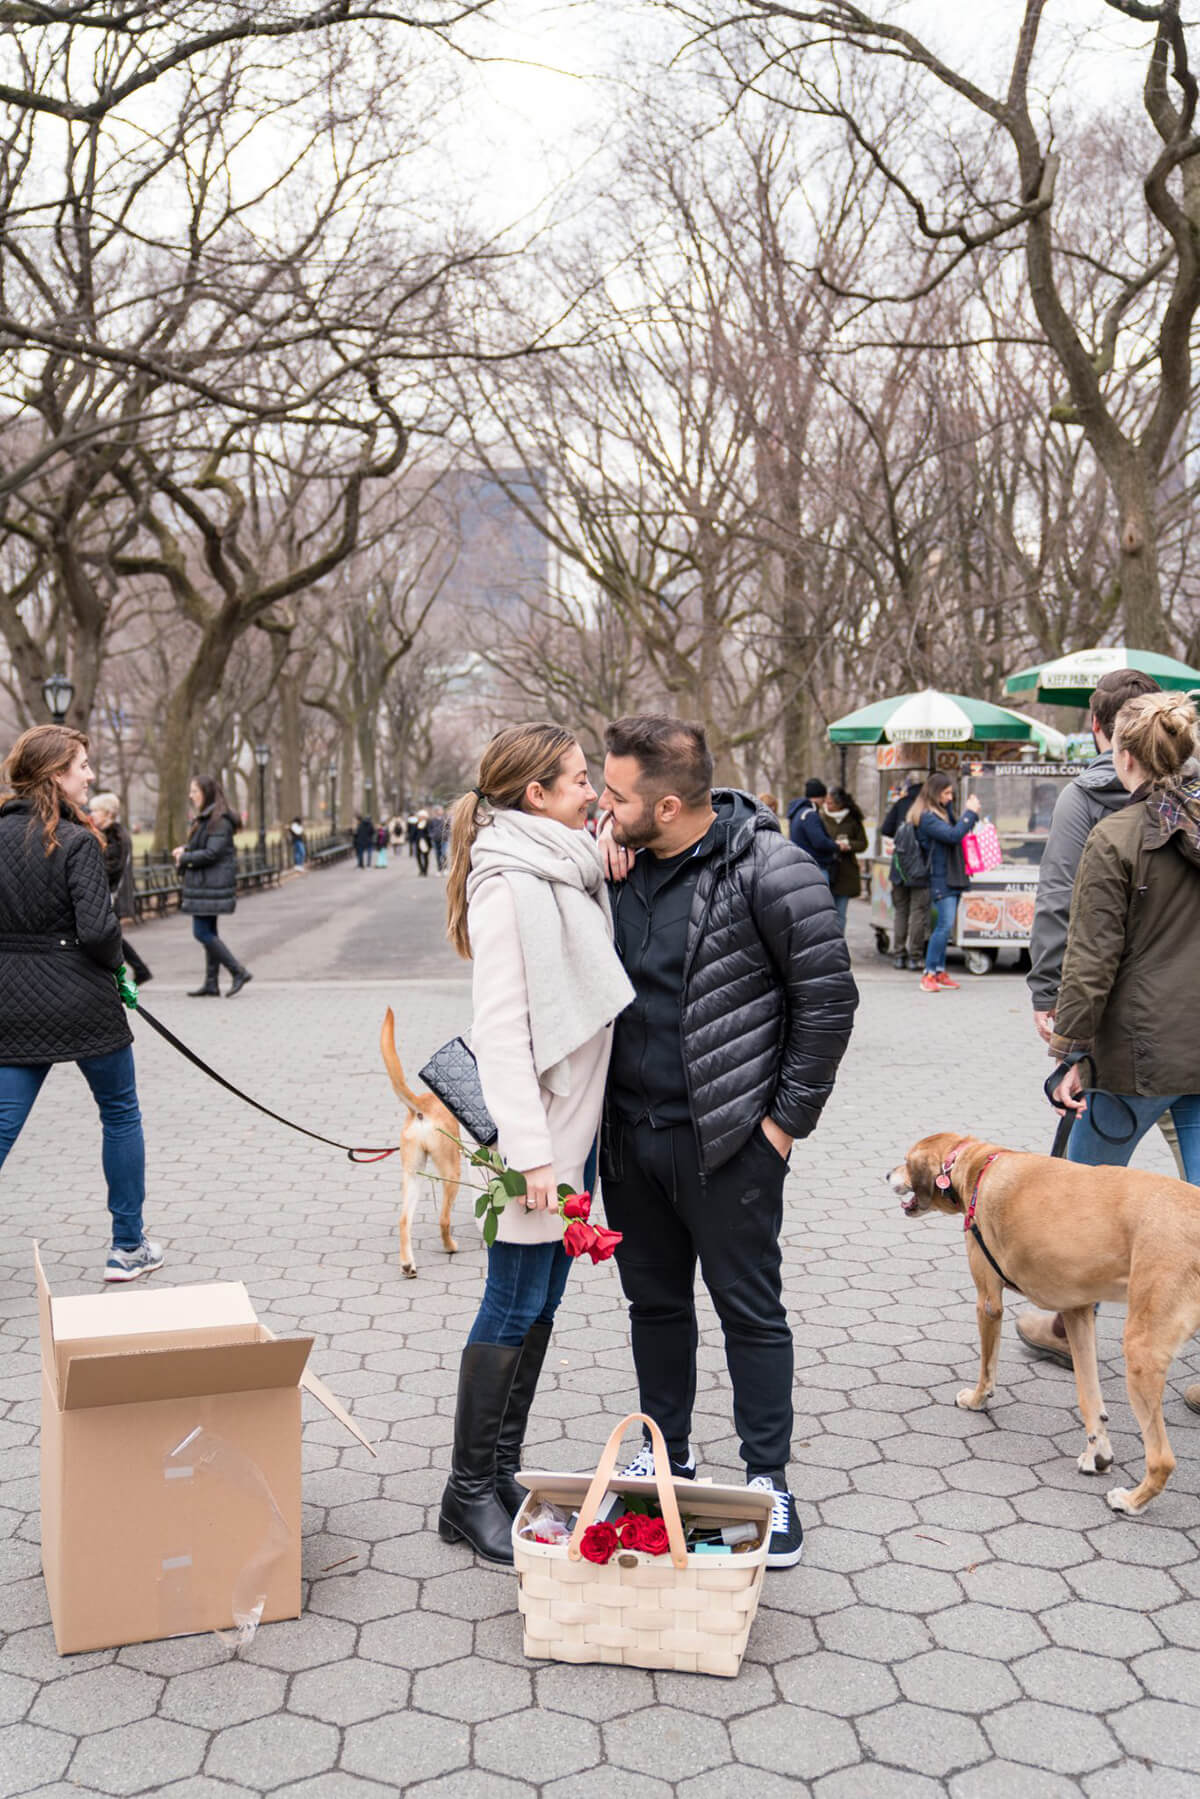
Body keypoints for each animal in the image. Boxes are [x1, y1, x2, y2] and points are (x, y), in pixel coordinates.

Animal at [383, 1014, 464, 1280]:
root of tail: (420, 1106)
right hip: (451, 1171)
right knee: (443, 1219)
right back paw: (450, 1246)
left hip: (413, 1174)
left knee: (403, 1220)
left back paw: (408, 1264)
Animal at [888, 1136, 1200, 1518]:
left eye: (905, 1161)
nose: (887, 1173)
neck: (978, 1164)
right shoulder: (1077, 1312)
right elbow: (1089, 1396)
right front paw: (1098, 1452)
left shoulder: (988, 1302)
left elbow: (986, 1369)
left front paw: (977, 1400)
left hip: (1142, 1352)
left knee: (1162, 1459)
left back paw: (1131, 1501)